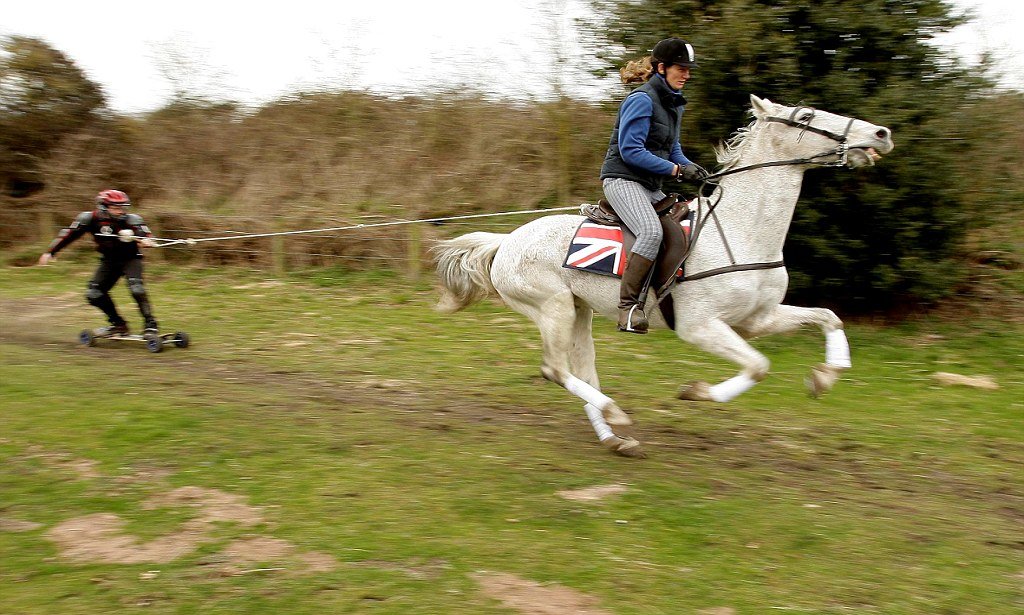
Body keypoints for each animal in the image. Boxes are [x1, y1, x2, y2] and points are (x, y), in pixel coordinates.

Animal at [434, 92, 897, 456]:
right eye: (805, 116)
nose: (881, 134)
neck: (742, 231)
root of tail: (507, 241)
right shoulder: (700, 326)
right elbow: (758, 366)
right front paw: (698, 392)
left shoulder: (758, 319)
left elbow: (828, 317)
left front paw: (826, 376)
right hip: (553, 308)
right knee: (555, 369)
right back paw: (615, 414)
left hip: (579, 312)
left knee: (581, 371)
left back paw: (614, 437)